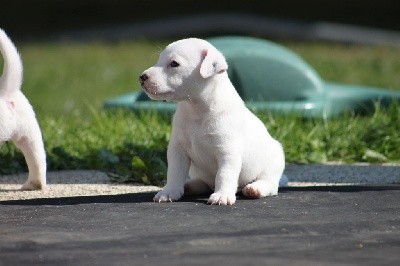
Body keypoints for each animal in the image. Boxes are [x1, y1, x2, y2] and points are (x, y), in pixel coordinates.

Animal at [139, 37, 286, 205]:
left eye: (174, 63)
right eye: (159, 59)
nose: (142, 77)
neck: (196, 110)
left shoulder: (227, 153)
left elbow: (224, 175)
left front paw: (222, 195)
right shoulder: (177, 150)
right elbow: (174, 172)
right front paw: (169, 191)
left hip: (274, 162)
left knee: (270, 185)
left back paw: (255, 188)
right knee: (204, 184)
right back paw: (189, 185)